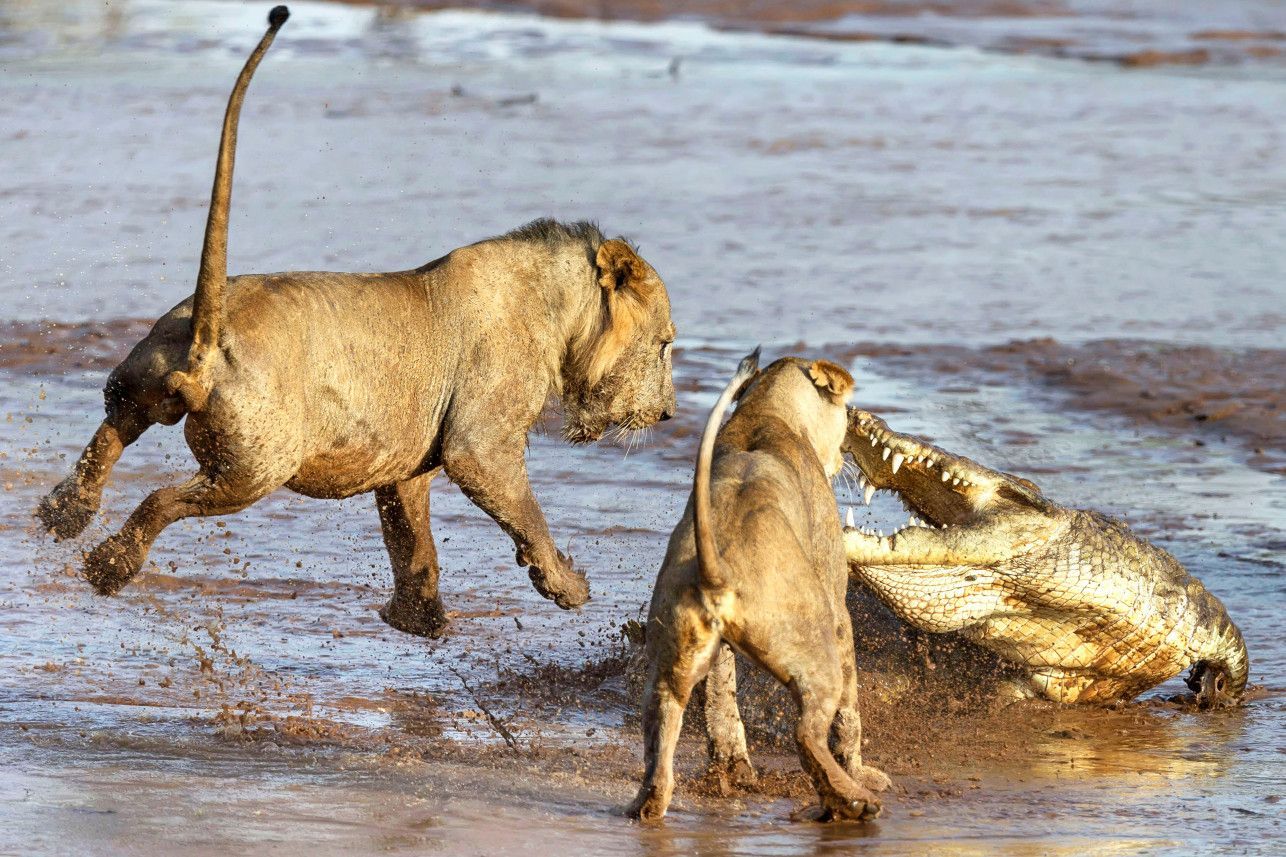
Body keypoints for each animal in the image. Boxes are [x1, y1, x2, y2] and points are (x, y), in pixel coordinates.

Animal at [35, 5, 679, 633]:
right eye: (667, 344)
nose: (670, 413)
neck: (556, 309)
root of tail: (206, 340)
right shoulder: (481, 441)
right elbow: (523, 510)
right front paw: (566, 586)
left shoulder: (406, 458)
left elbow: (411, 538)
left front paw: (419, 619)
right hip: (255, 468)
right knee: (162, 500)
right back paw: (108, 566)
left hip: (140, 381)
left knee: (110, 432)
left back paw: (63, 515)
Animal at [627, 350, 889, 823]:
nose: (847, 456)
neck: (766, 410)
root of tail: (717, 573)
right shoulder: (838, 603)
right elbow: (850, 713)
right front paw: (861, 770)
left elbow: (721, 695)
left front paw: (732, 759)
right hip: (815, 646)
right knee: (807, 732)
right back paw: (853, 799)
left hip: (668, 663)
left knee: (662, 734)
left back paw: (648, 805)